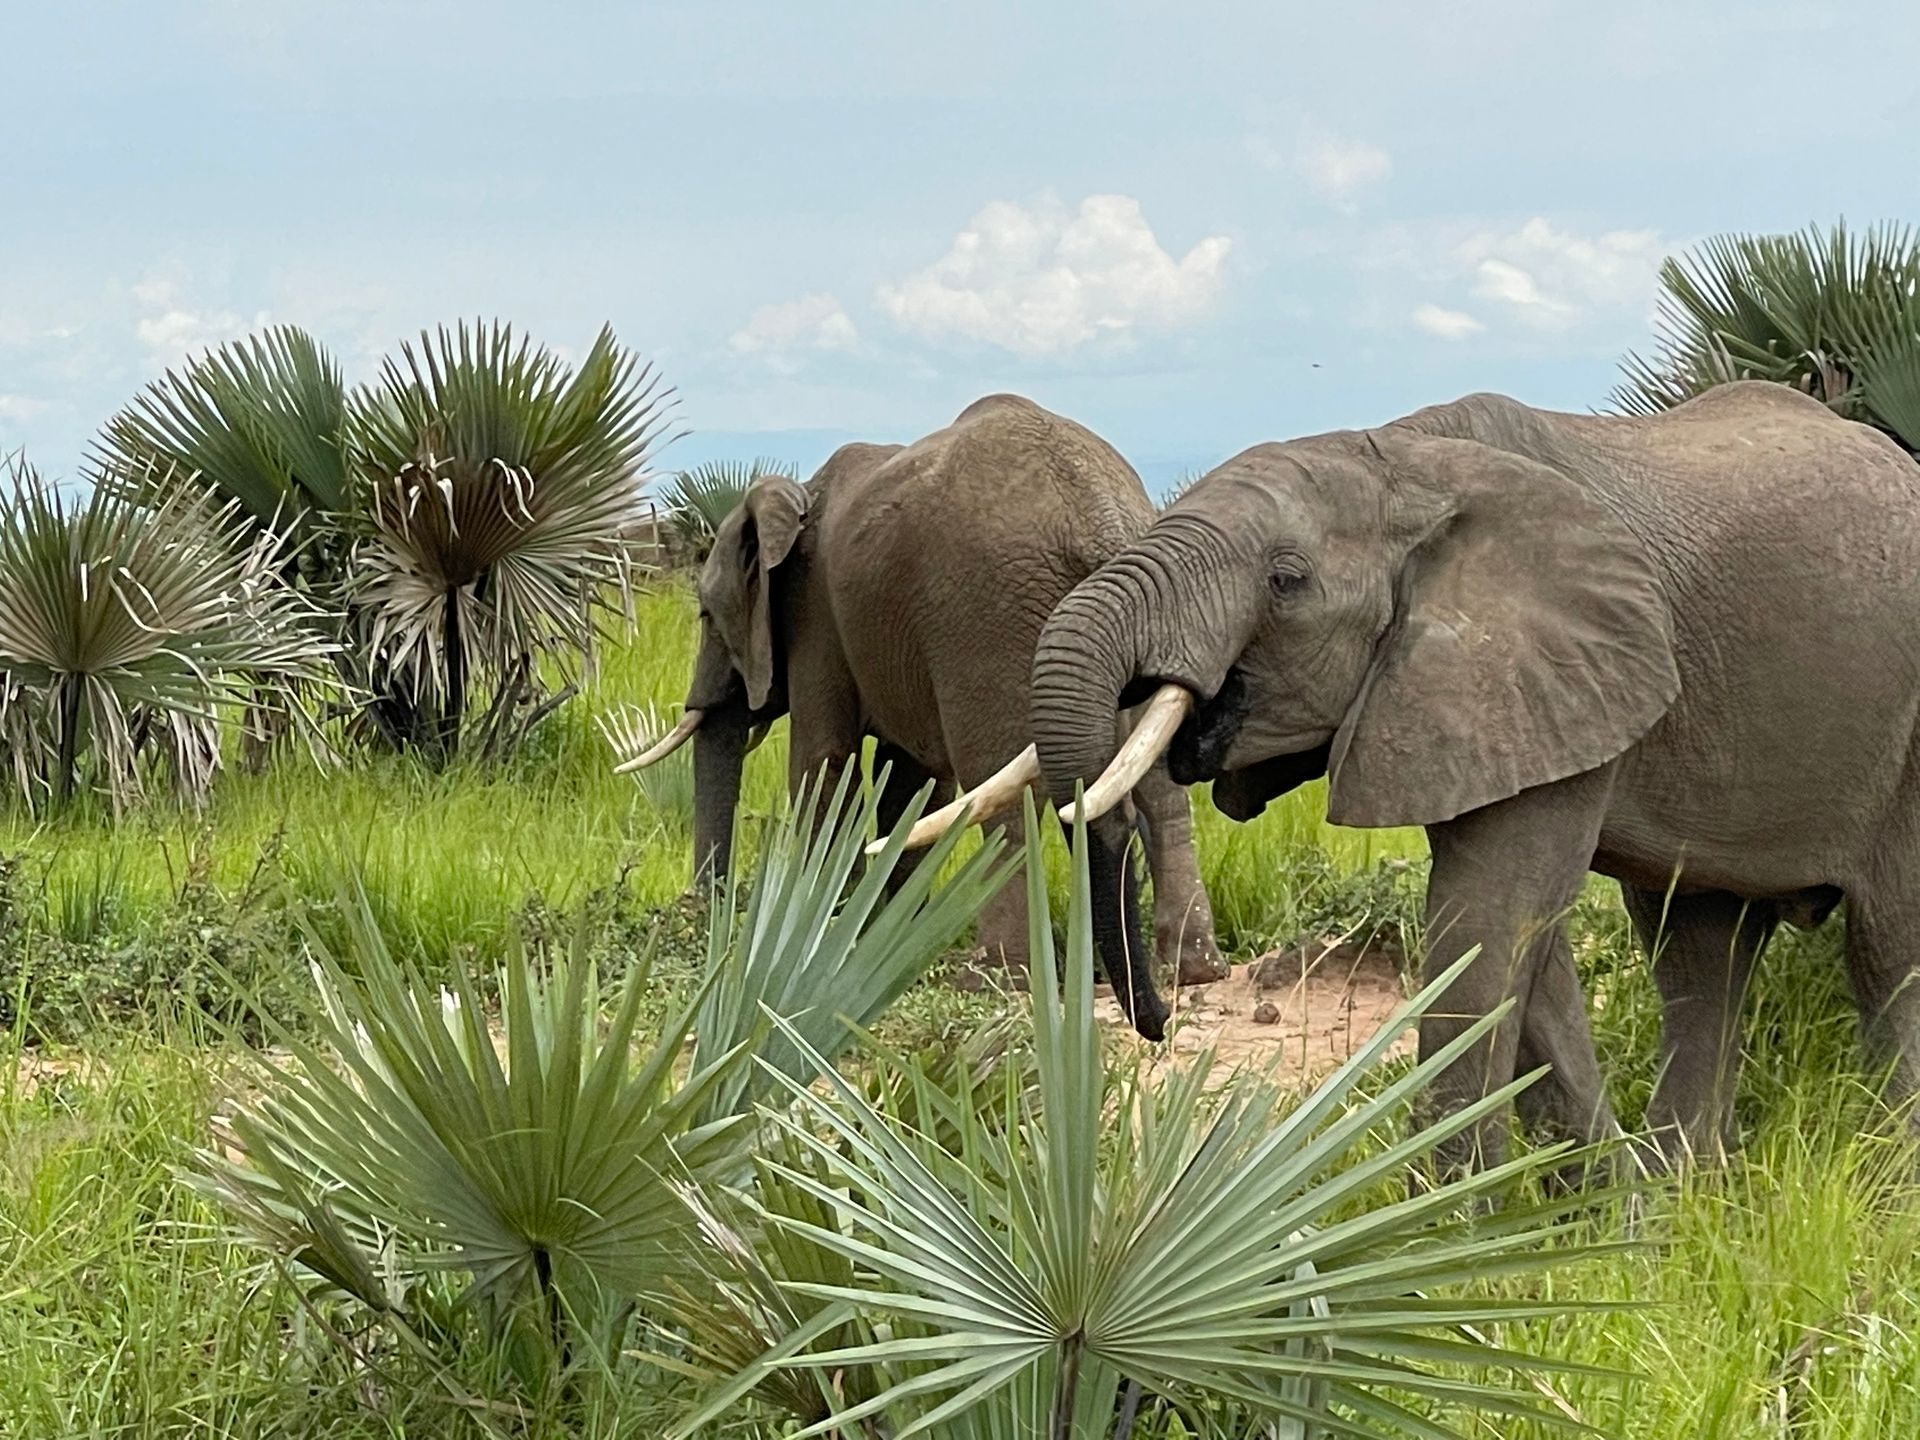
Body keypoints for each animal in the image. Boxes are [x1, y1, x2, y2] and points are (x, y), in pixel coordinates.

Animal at [629, 391, 1228, 1036]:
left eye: (706, 616)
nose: (701, 914)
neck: (796, 496)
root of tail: (1099, 515)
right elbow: (914, 786)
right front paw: (885, 938)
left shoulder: (817, 621)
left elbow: (823, 765)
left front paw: (824, 937)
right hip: (1158, 611)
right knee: (1159, 786)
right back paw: (1195, 968)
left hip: (984, 612)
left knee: (1001, 789)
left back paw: (995, 978)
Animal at [925, 385, 1920, 1182]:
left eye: (1285, 581)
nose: (1160, 1018)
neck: (1404, 460)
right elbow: (1521, 942)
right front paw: (1601, 1215)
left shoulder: (1548, 670)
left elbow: (1484, 918)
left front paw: (1443, 1231)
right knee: (1700, 952)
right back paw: (1692, 1191)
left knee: (1887, 948)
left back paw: (1882, 1173)